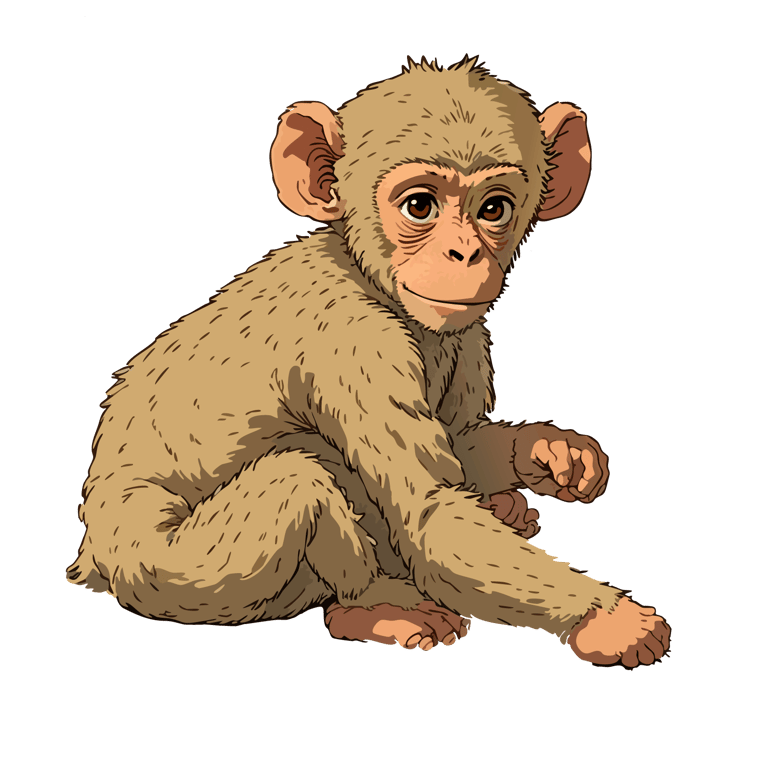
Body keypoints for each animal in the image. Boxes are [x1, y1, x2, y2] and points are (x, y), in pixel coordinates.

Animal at [65, 55, 671, 667]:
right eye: (419, 206)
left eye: (493, 208)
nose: (464, 253)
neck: (370, 278)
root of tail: (94, 563)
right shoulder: (354, 345)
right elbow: (429, 512)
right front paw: (608, 618)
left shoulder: (468, 336)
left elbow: (460, 445)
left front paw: (549, 450)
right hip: (180, 573)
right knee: (296, 482)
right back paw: (372, 605)